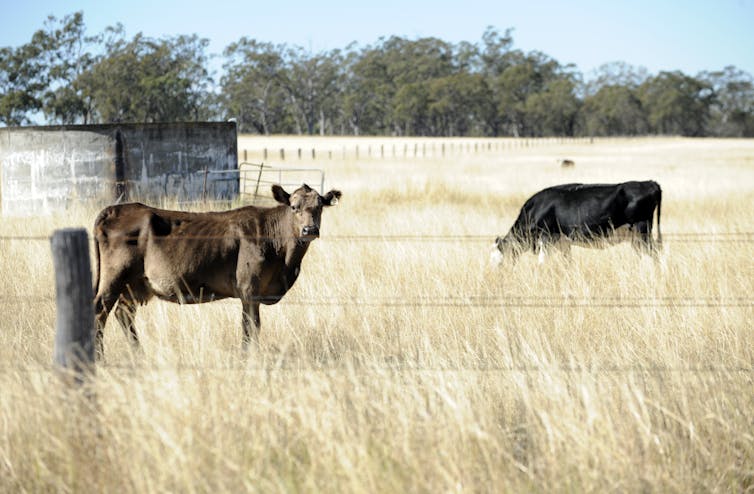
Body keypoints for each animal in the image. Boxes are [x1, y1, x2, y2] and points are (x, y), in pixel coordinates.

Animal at [92, 183, 340, 356]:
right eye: (294, 207)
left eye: (319, 208)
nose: (310, 229)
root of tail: (116, 209)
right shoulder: (249, 290)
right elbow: (250, 327)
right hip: (114, 278)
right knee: (99, 313)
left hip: (135, 285)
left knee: (123, 314)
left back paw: (138, 355)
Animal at [488, 180, 656, 264]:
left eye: (499, 262)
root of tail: (650, 183)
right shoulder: (564, 243)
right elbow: (567, 262)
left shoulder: (546, 238)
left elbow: (542, 262)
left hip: (643, 232)